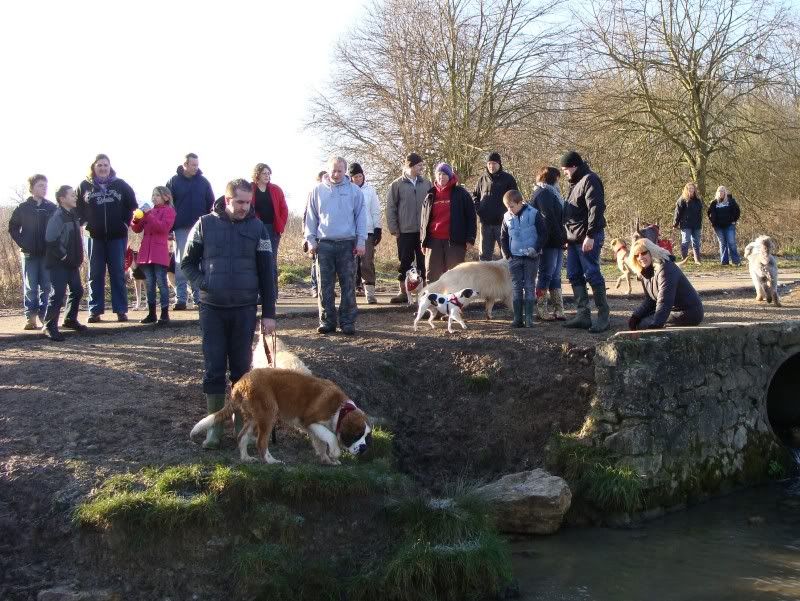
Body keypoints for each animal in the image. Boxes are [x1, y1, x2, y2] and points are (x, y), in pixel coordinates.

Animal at [191, 368, 372, 466]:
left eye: (366, 437)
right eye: (356, 436)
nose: (364, 448)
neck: (341, 409)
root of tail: (241, 382)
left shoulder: (313, 429)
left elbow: (321, 443)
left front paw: (327, 460)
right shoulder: (311, 421)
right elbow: (331, 436)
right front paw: (335, 453)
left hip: (253, 417)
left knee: (242, 436)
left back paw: (246, 458)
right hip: (268, 413)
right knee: (260, 442)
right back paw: (270, 461)